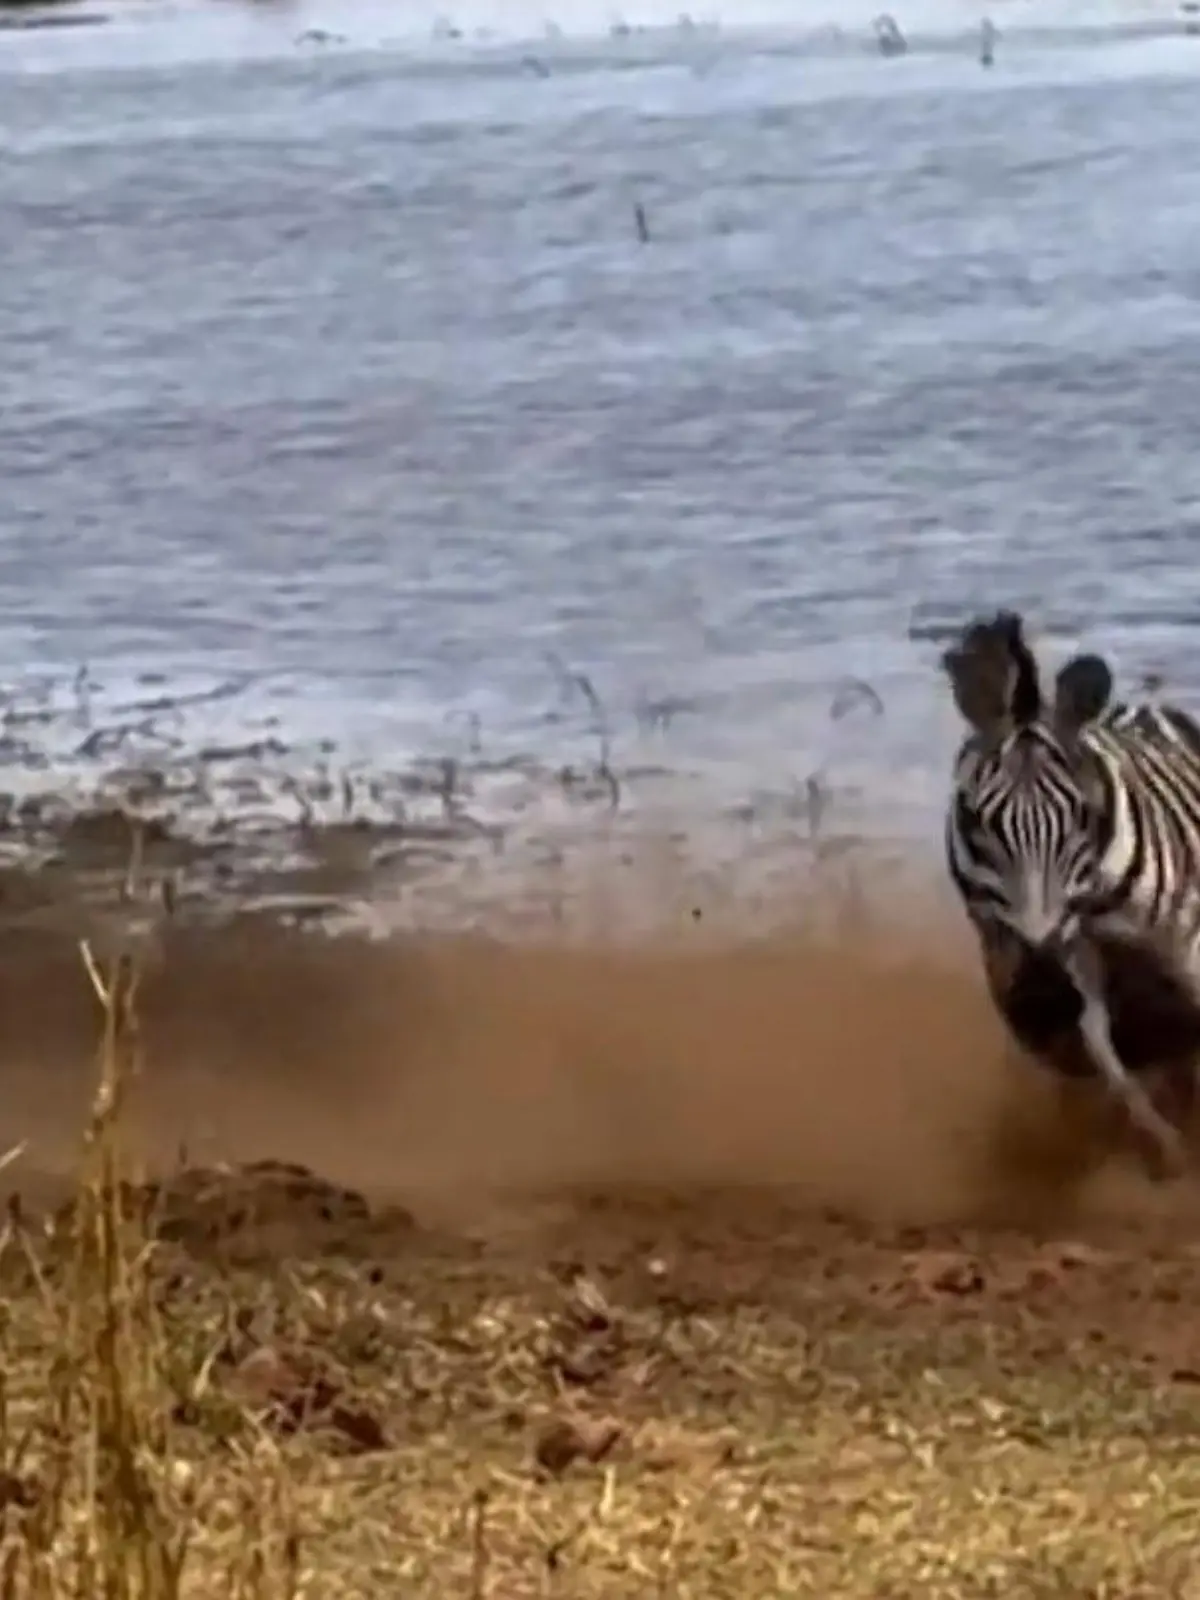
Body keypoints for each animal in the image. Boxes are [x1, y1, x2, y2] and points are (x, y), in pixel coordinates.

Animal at [942, 609, 1200, 1179]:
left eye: (1083, 815)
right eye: (975, 820)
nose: (1039, 997)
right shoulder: (1073, 946)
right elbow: (1099, 1041)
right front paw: (1166, 1147)